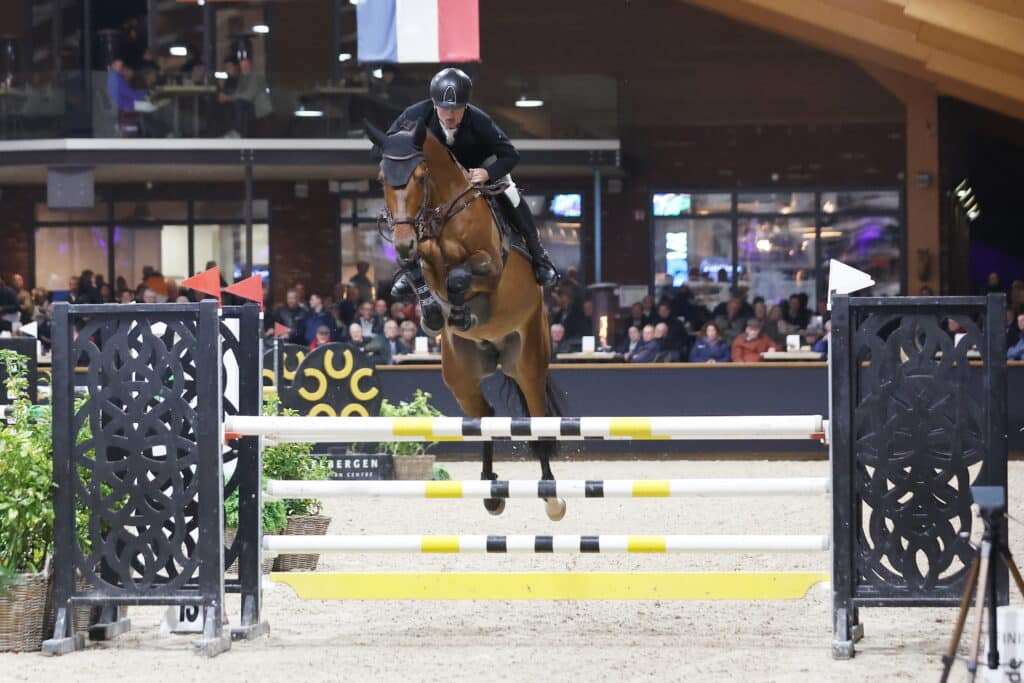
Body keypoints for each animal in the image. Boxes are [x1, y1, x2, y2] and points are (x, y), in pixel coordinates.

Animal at [366, 118, 566, 521]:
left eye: (420, 176)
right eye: (382, 178)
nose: (402, 240)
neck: (442, 213)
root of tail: (498, 351)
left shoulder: (489, 264)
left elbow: (460, 276)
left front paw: (457, 309)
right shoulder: (423, 251)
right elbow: (418, 269)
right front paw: (432, 312)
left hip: (529, 359)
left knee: (536, 418)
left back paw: (551, 496)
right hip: (460, 374)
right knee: (484, 415)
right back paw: (491, 490)